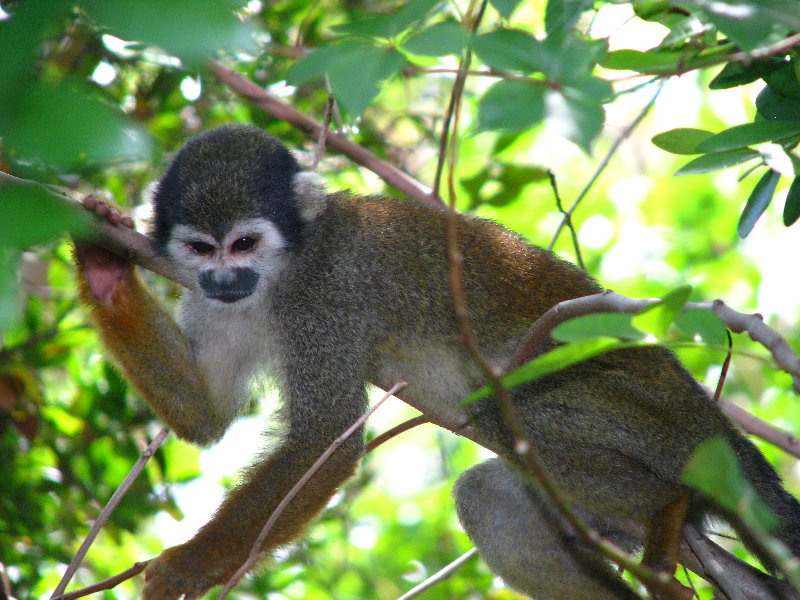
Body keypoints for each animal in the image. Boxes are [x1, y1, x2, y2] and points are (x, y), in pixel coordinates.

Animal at [75, 123, 800, 600]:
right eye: (202, 249)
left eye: (245, 243)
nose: (226, 278)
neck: (281, 273)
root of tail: (712, 418)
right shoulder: (210, 298)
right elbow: (207, 416)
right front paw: (102, 260)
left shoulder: (325, 296)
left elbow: (324, 440)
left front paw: (190, 564)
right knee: (490, 492)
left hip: (656, 419)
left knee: (508, 416)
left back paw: (668, 502)